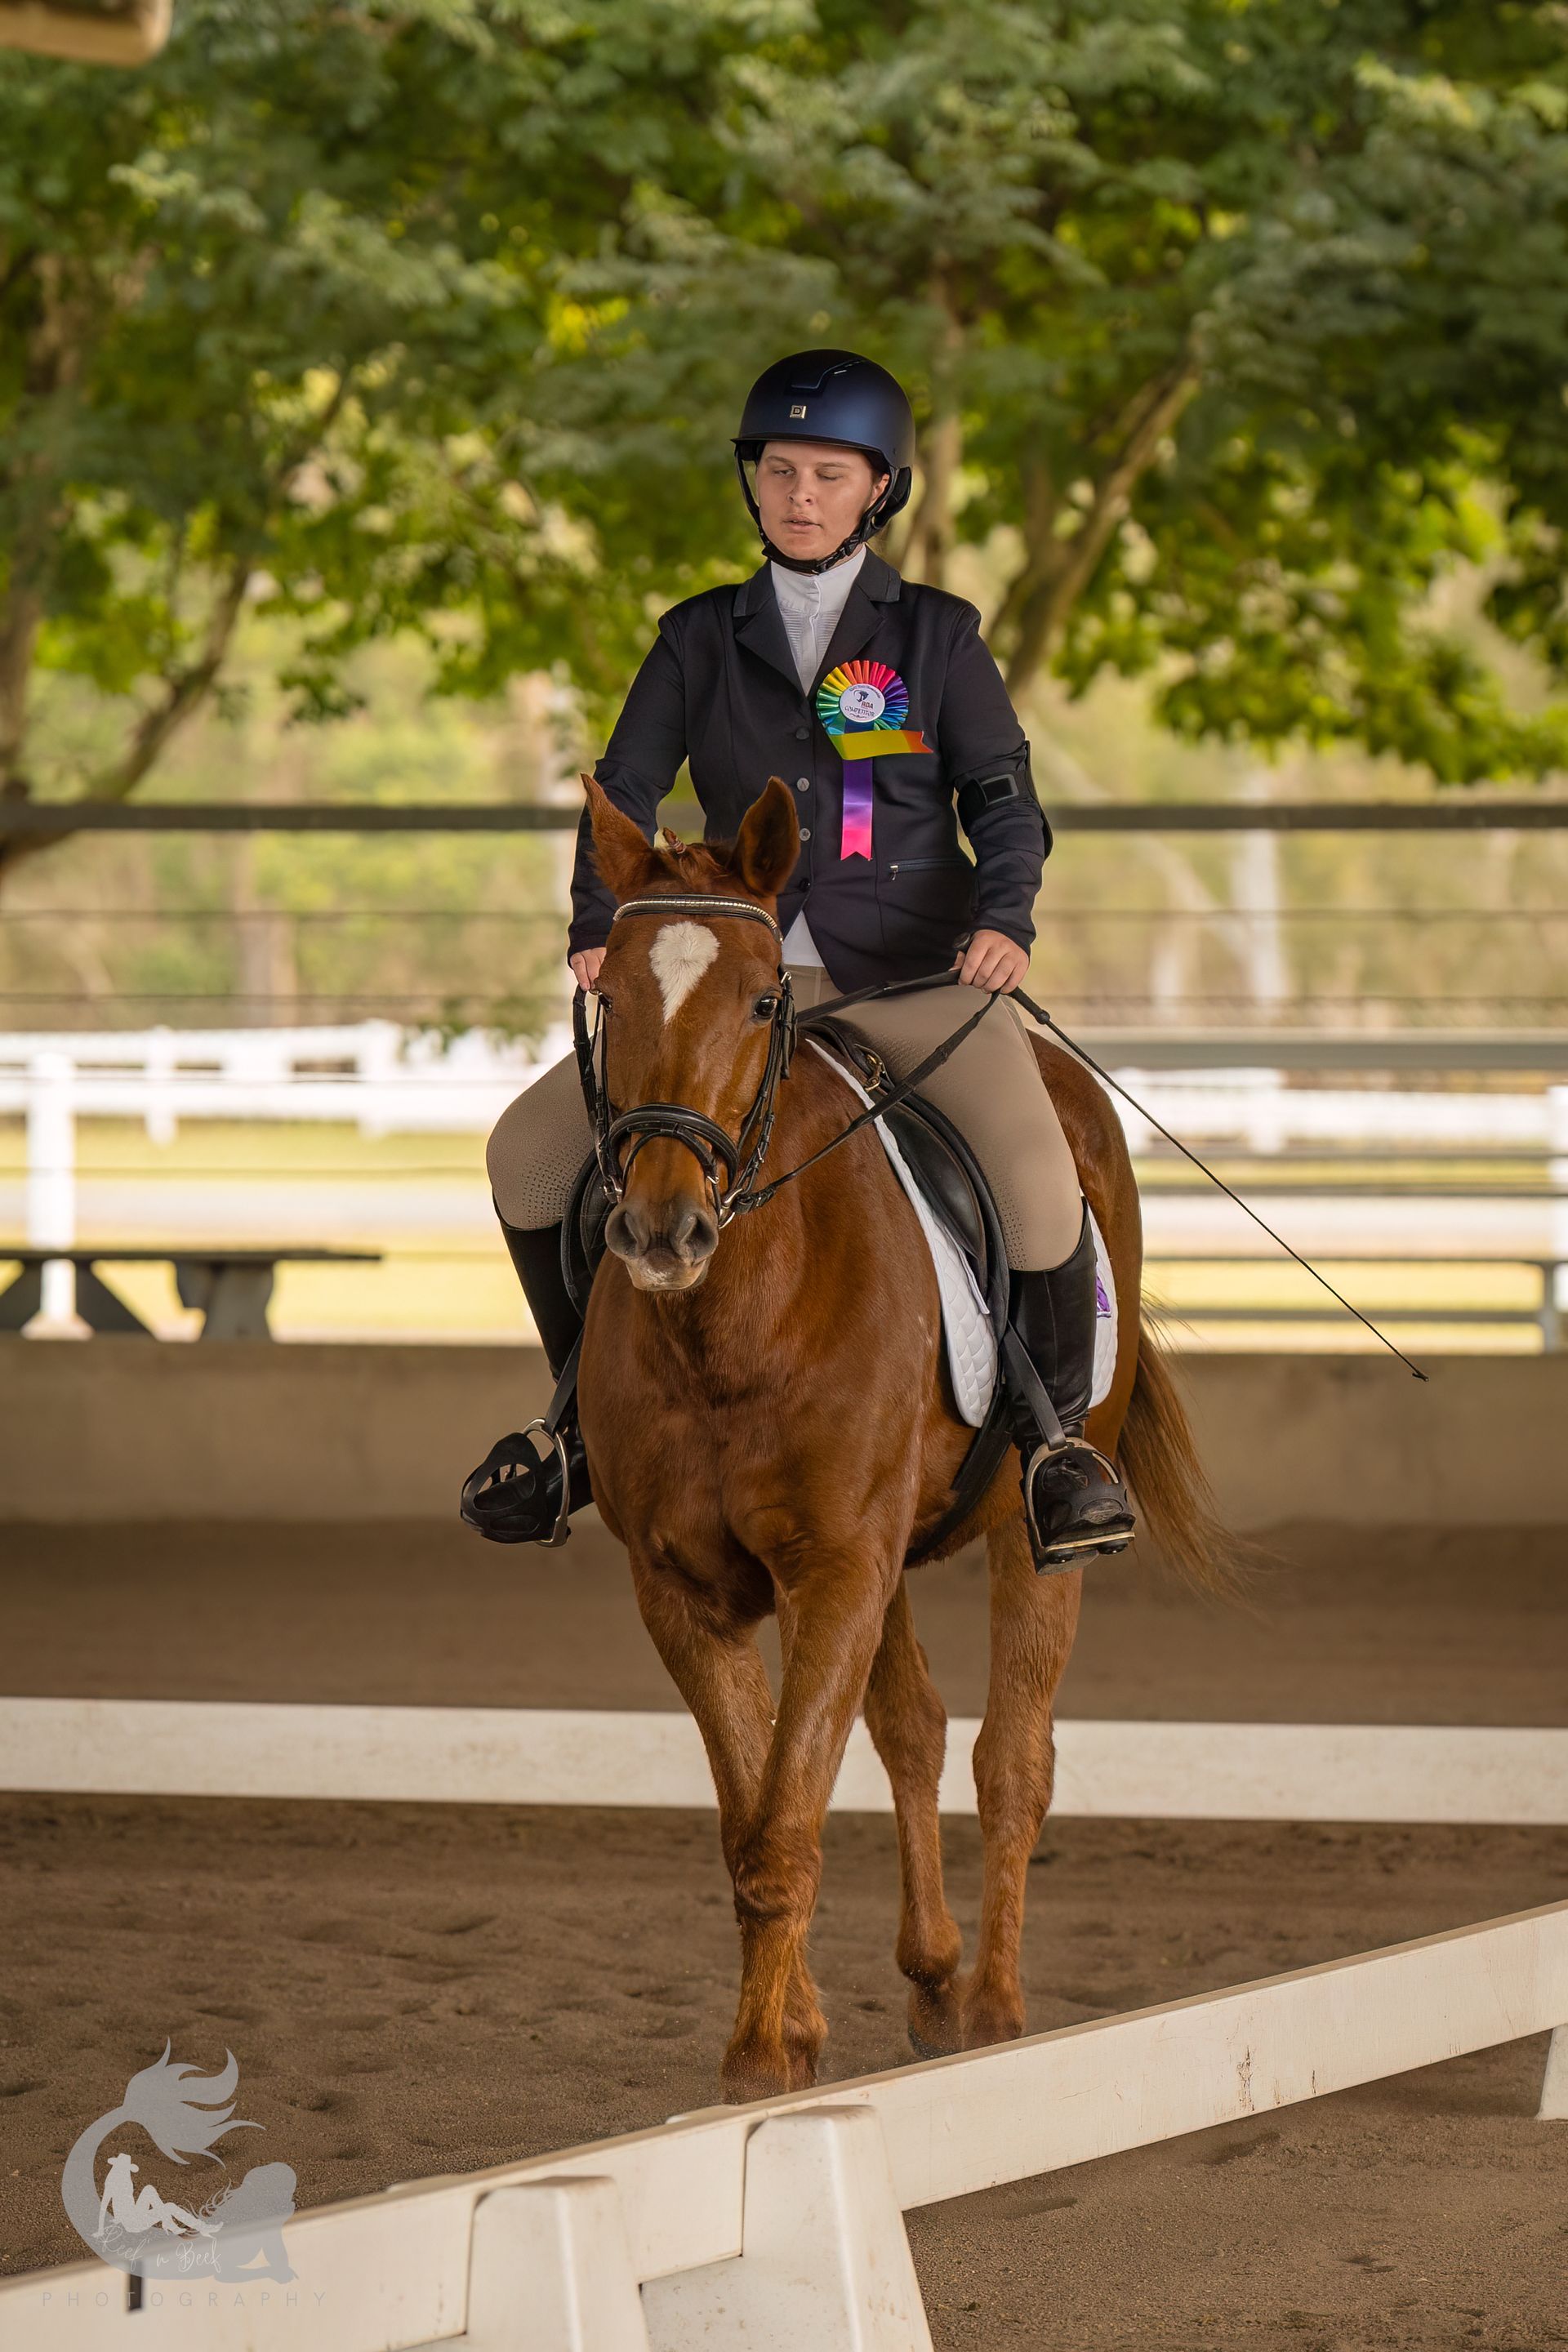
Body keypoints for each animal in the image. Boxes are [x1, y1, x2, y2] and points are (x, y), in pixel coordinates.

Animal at [575, 773, 1234, 2102]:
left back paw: (994, 2009)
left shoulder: (835, 1567)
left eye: (761, 998)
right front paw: (793, 2035)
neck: (733, 1321)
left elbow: (784, 1826)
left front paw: (760, 2067)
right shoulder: (691, 1587)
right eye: (608, 994)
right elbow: (756, 1806)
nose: (662, 1231)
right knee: (917, 1732)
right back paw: (931, 1980)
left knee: (1013, 1760)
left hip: (1026, 1536)